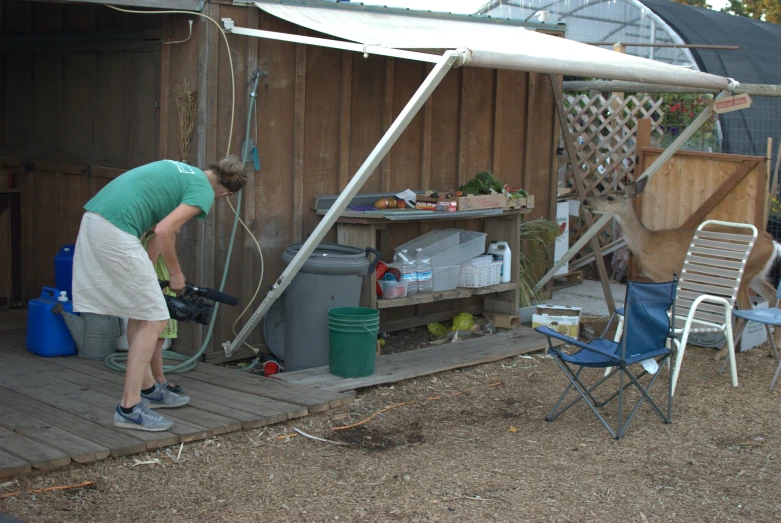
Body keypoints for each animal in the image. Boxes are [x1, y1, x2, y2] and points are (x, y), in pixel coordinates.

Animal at [584, 178, 780, 362]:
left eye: (610, 197)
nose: (586, 200)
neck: (646, 243)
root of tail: (773, 243)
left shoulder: (664, 274)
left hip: (744, 274)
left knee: (747, 308)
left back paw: (722, 353)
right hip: (756, 276)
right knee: (772, 296)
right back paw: (773, 349)